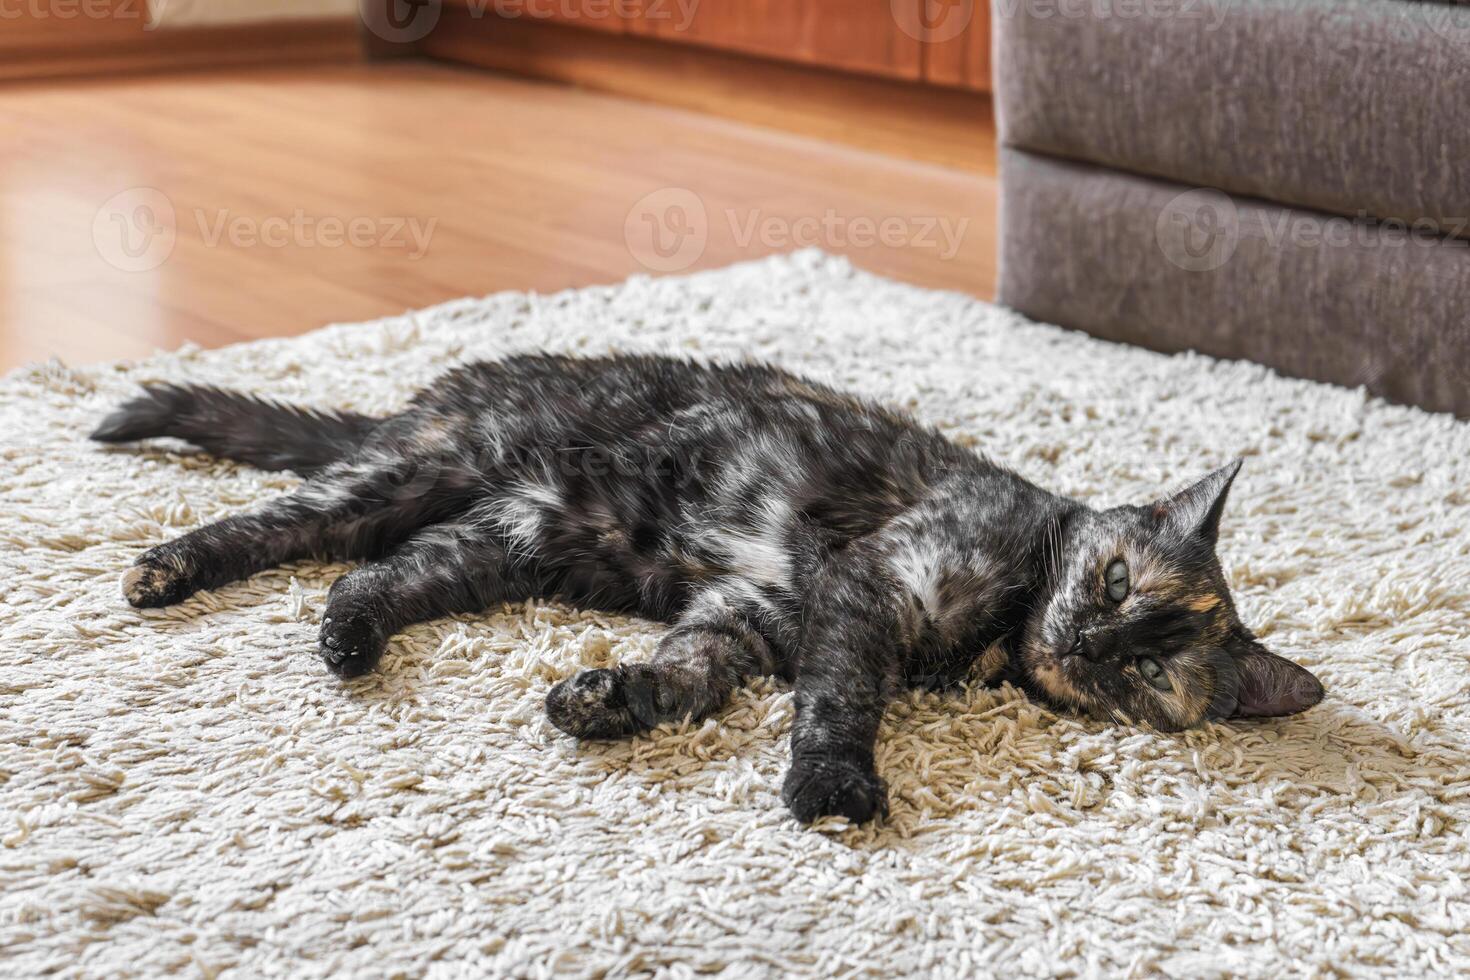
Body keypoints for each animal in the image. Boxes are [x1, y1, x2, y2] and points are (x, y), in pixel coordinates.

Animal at [94, 357, 1334, 822]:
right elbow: (843, 700)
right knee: (274, 525)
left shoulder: (746, 619)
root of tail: (438, 391)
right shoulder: (866, 591)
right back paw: (165, 569)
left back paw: (350, 639)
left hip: (509, 540)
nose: (1083, 637)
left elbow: (685, 680)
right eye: (1116, 577)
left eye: (1151, 668)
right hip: (414, 473)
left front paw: (604, 702)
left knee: (373, 575)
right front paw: (834, 783)